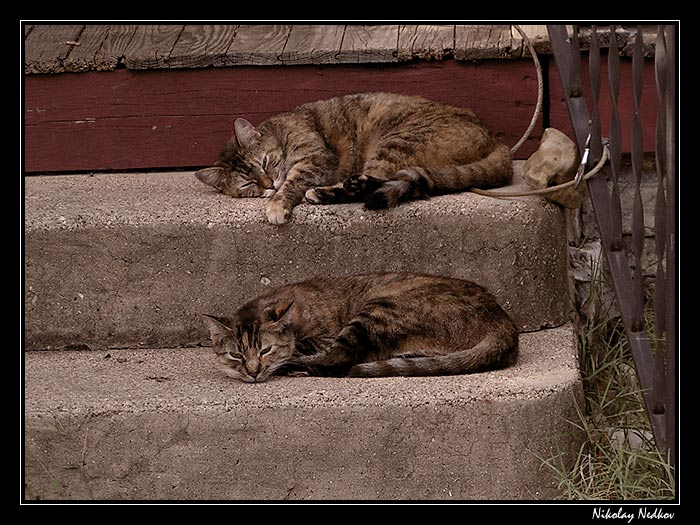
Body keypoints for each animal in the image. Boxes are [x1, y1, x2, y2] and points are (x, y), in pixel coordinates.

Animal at [194, 92, 512, 223]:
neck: (279, 130)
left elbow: (293, 181)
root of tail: (494, 139)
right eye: (248, 185)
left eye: (265, 163)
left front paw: (277, 204)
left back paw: (328, 192)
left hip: (396, 141)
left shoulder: (315, 157)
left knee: (379, 181)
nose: (269, 184)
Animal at [200, 274, 516, 380]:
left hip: (379, 308)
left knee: (339, 361)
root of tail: (501, 317)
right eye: (237, 354)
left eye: (265, 350)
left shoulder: (322, 337)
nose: (253, 372)